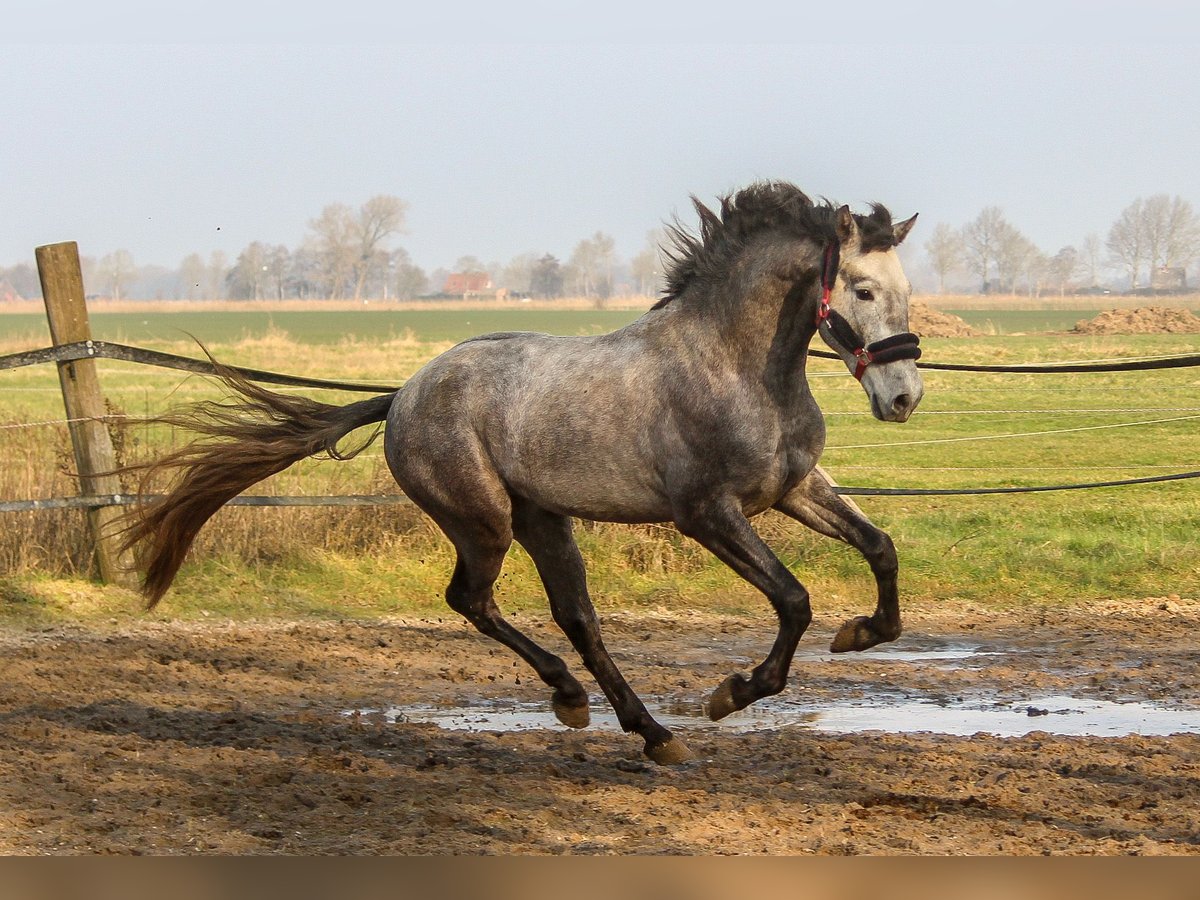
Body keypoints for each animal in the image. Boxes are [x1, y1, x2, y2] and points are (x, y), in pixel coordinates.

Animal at [121, 184, 921, 768]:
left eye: (905, 288)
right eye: (860, 289)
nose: (905, 397)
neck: (735, 366)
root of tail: (404, 394)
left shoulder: (793, 489)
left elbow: (879, 548)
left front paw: (862, 632)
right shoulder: (706, 513)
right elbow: (792, 599)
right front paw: (732, 693)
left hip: (545, 519)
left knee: (577, 618)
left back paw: (644, 730)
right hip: (485, 522)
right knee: (472, 600)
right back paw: (585, 704)